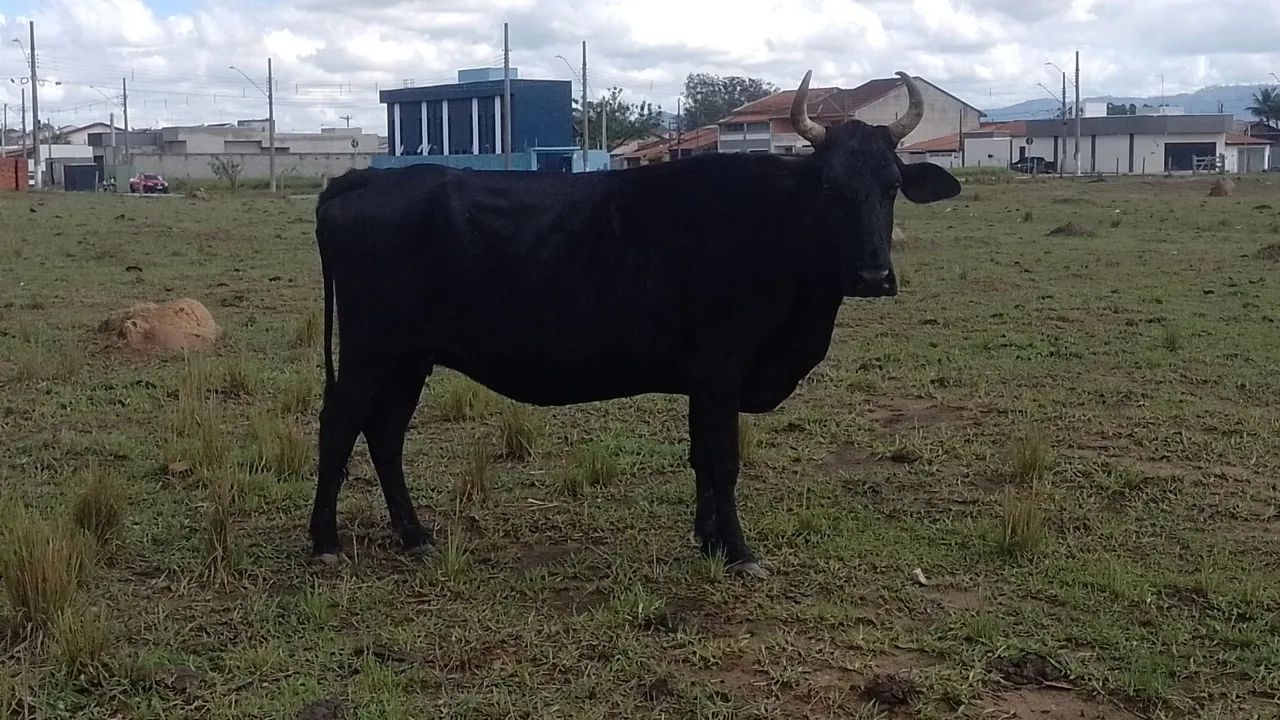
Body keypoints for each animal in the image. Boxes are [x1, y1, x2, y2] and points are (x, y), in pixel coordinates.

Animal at [309, 70, 961, 577]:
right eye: (829, 187)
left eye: (892, 186)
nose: (873, 274)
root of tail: (362, 178)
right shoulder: (721, 369)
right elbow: (723, 458)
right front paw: (740, 552)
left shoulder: (703, 380)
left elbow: (702, 457)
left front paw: (710, 541)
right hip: (370, 353)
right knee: (340, 427)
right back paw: (324, 543)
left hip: (408, 359)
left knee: (385, 433)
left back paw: (414, 535)